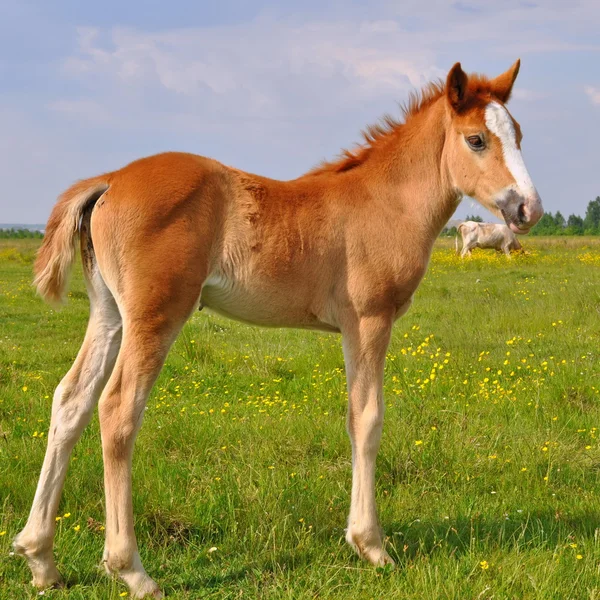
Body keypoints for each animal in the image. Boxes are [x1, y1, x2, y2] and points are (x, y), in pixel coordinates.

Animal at [15, 59, 544, 596]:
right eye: (476, 139)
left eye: (519, 134)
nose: (528, 209)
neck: (385, 203)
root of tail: (110, 179)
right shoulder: (369, 320)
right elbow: (367, 419)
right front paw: (371, 545)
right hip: (155, 315)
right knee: (118, 409)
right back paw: (132, 570)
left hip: (109, 314)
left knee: (71, 401)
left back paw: (41, 559)